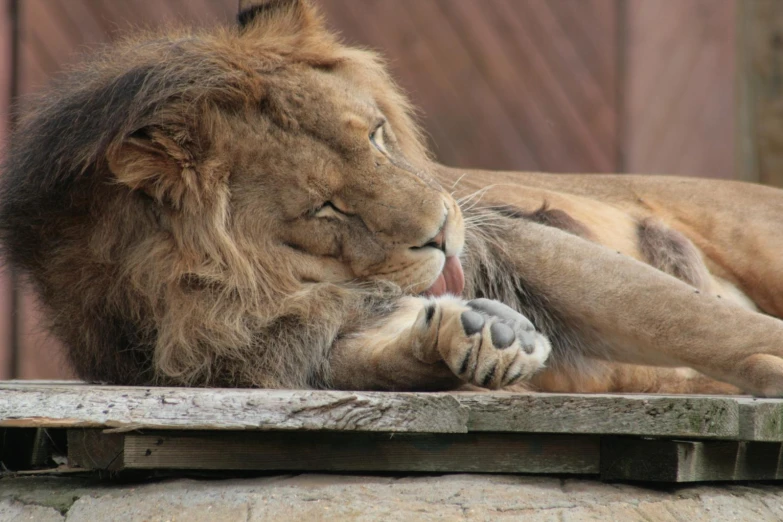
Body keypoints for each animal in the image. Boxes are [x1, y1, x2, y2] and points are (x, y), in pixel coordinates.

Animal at [1, 0, 783, 394]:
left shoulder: (517, 241)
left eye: (376, 137)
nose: (443, 230)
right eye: (328, 208)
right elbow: (384, 359)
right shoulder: (280, 351)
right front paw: (477, 340)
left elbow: (687, 319)